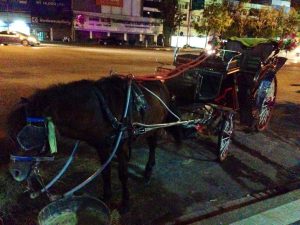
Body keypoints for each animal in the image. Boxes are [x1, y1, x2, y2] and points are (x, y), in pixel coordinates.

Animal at [7, 74, 180, 212]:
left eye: (28, 137)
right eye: (12, 135)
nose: (15, 172)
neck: (100, 111)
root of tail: (162, 84)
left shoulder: (121, 146)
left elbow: (123, 175)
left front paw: (125, 203)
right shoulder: (101, 146)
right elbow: (105, 172)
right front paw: (106, 196)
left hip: (155, 128)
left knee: (152, 146)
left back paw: (148, 171)